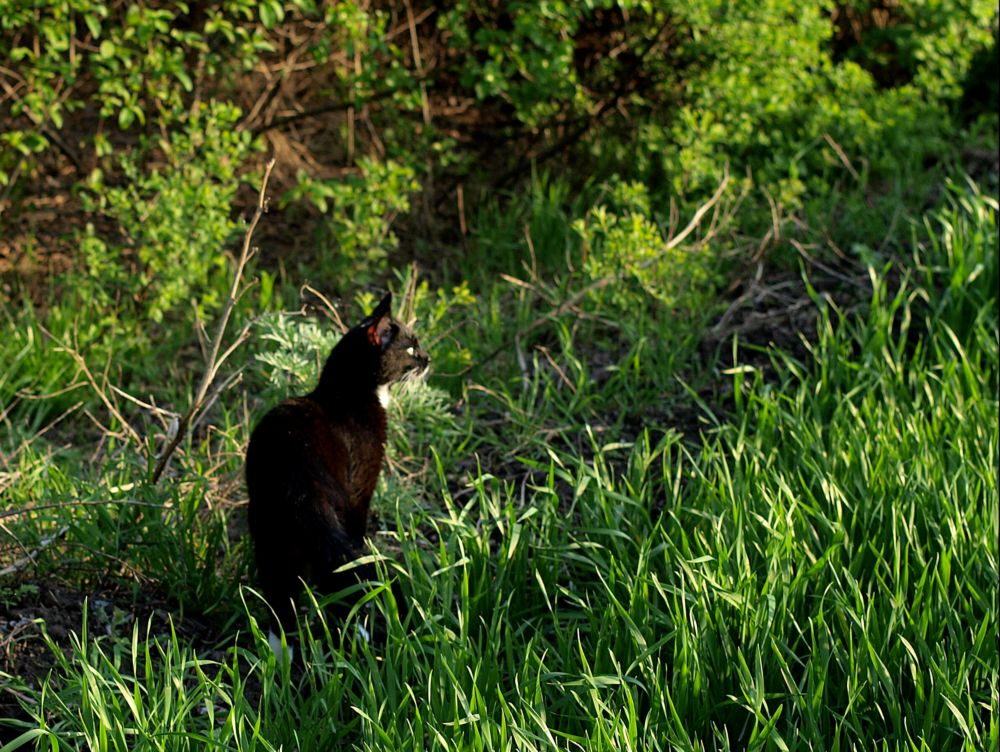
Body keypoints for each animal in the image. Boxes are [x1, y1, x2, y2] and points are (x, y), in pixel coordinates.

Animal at [248, 290, 428, 656]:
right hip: (328, 511)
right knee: (338, 573)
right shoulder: (361, 486)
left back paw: (280, 657)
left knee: (281, 594)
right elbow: (356, 543)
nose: (428, 359)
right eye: (411, 348)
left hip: (268, 529)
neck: (348, 394)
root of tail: (294, 480)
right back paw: (357, 633)